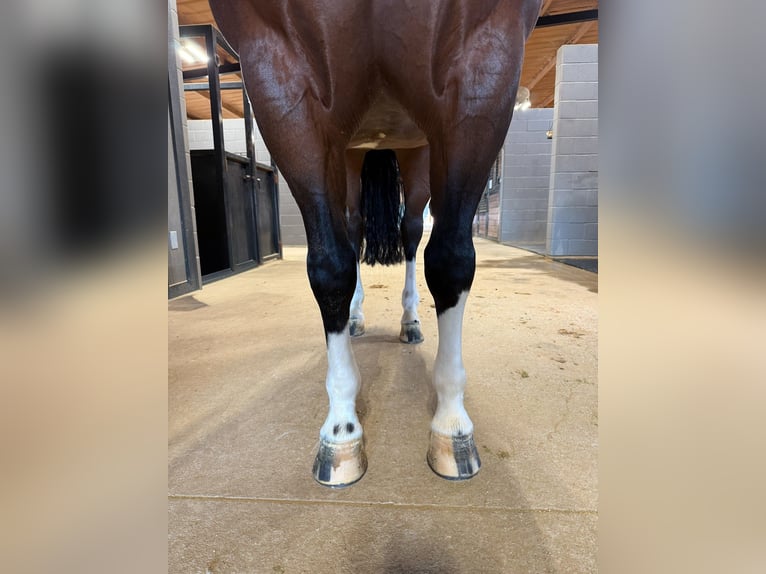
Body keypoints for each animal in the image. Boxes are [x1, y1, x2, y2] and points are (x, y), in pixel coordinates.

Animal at [209, 0, 542, 487]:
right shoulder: (279, 73)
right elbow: (330, 267)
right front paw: (341, 429)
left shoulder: (484, 61)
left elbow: (450, 260)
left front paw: (452, 425)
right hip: (349, 152)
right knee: (352, 229)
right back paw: (354, 318)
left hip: (418, 149)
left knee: (411, 234)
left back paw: (410, 321)